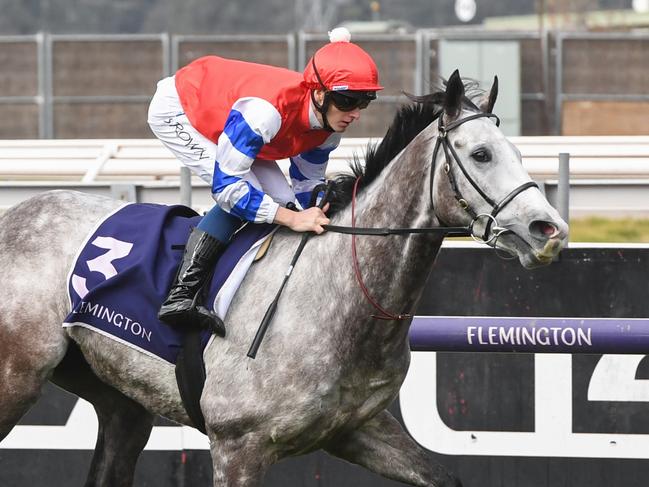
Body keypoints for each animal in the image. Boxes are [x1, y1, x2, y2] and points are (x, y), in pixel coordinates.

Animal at [0, 70, 568, 486]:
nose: (550, 230)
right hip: (17, 377)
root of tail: (14, 215)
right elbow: (231, 182)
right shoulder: (237, 447)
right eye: (481, 154)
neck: (340, 297)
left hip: (119, 400)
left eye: (519, 152)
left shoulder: (357, 428)